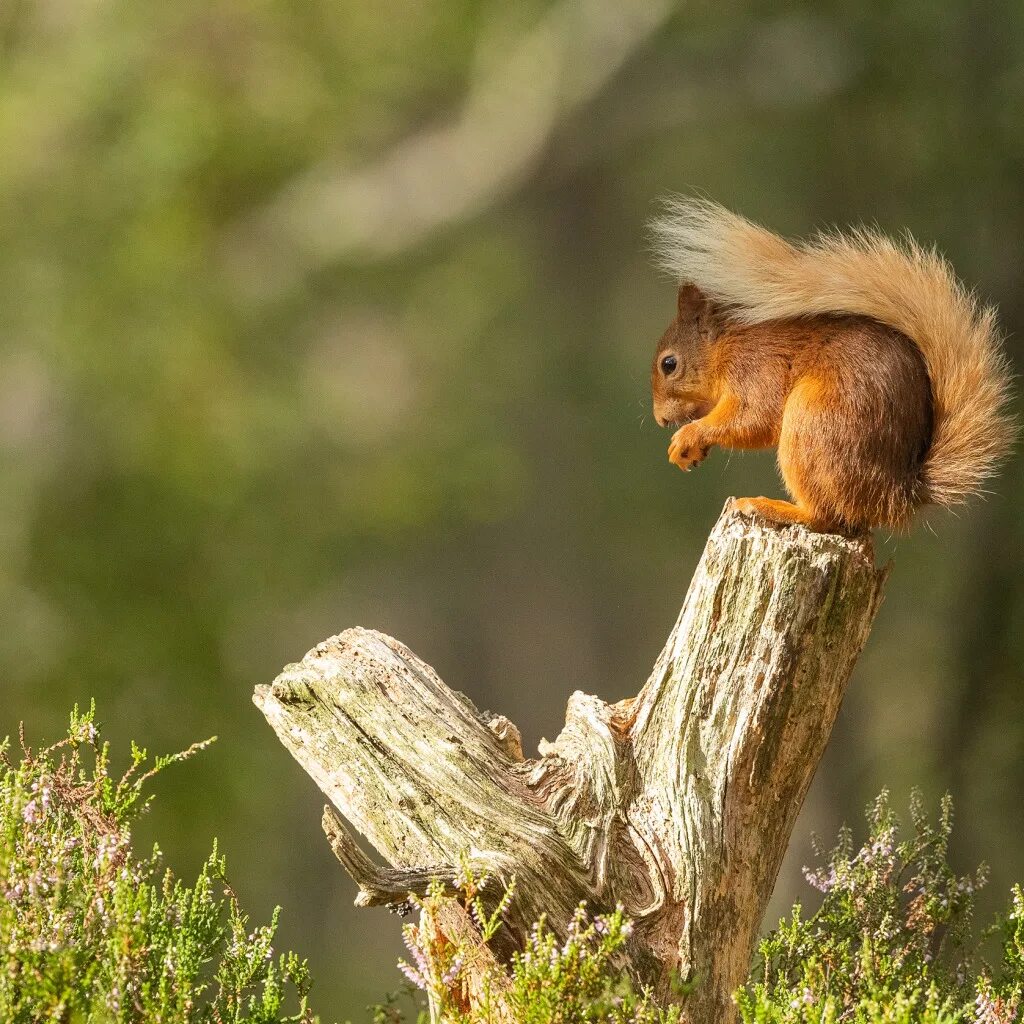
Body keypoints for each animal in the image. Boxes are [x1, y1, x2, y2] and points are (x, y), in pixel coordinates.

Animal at [647, 200, 1015, 536]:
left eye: (669, 364)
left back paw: (774, 508)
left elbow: (754, 417)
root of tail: (894, 494)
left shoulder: (755, 367)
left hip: (815, 423)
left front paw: (688, 435)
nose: (660, 419)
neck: (724, 347)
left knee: (825, 517)